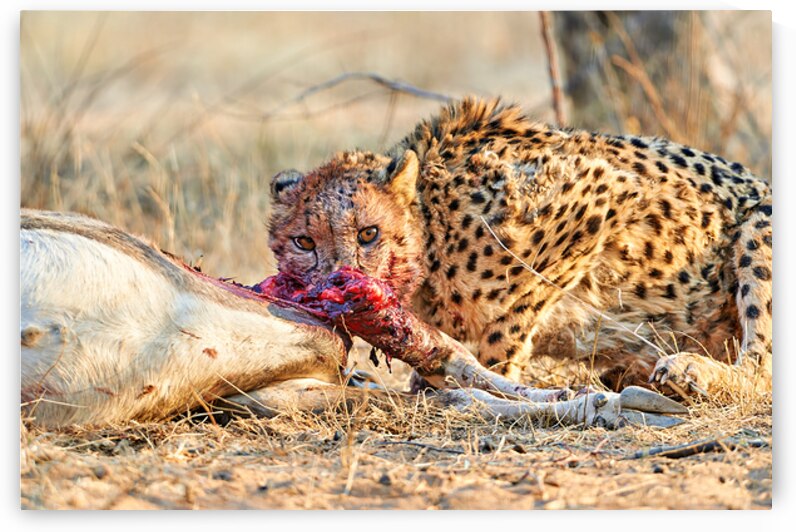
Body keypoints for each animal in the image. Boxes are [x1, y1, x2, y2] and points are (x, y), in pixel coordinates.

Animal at [267, 97, 772, 400]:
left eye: (369, 234)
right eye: (304, 242)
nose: (343, 281)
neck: (434, 227)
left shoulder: (600, 194)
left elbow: (512, 315)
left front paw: (492, 378)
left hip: (760, 220)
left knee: (761, 365)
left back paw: (692, 371)